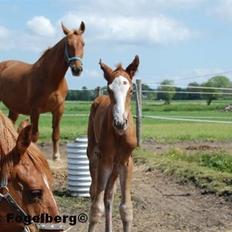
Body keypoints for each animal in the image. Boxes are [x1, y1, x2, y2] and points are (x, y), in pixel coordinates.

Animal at [0, 21, 85, 160]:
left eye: (83, 43)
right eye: (68, 44)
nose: (77, 69)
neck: (51, 79)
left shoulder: (58, 110)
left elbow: (56, 133)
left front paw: (56, 156)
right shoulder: (35, 111)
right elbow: (34, 136)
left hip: (14, 108)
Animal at [86, 55, 138, 232]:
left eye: (131, 90)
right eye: (110, 90)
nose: (120, 123)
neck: (119, 135)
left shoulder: (126, 162)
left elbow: (126, 209)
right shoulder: (105, 161)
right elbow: (96, 208)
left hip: (116, 167)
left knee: (109, 195)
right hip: (93, 153)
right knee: (95, 191)